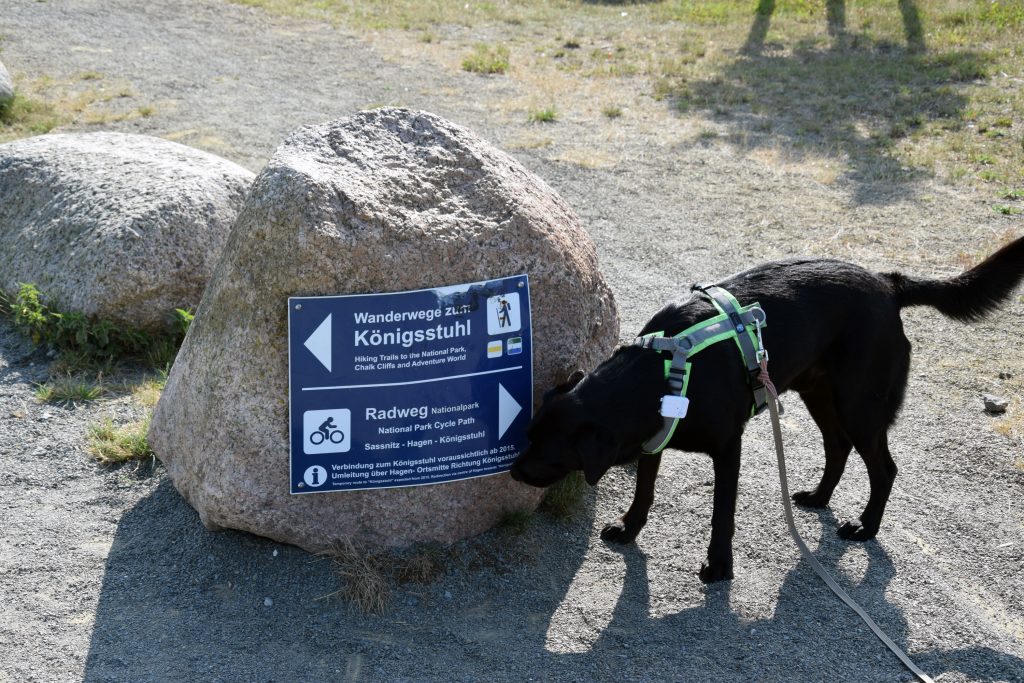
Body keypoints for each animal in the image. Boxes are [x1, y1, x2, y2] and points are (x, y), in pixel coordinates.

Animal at [512, 239, 1024, 581]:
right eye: (527, 436)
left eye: (548, 451)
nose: (514, 471)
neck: (661, 372)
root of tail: (887, 283)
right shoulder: (655, 437)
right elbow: (644, 491)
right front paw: (629, 528)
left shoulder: (727, 448)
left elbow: (722, 512)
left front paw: (719, 565)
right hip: (820, 394)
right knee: (837, 448)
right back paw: (819, 497)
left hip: (860, 404)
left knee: (884, 468)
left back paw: (866, 526)